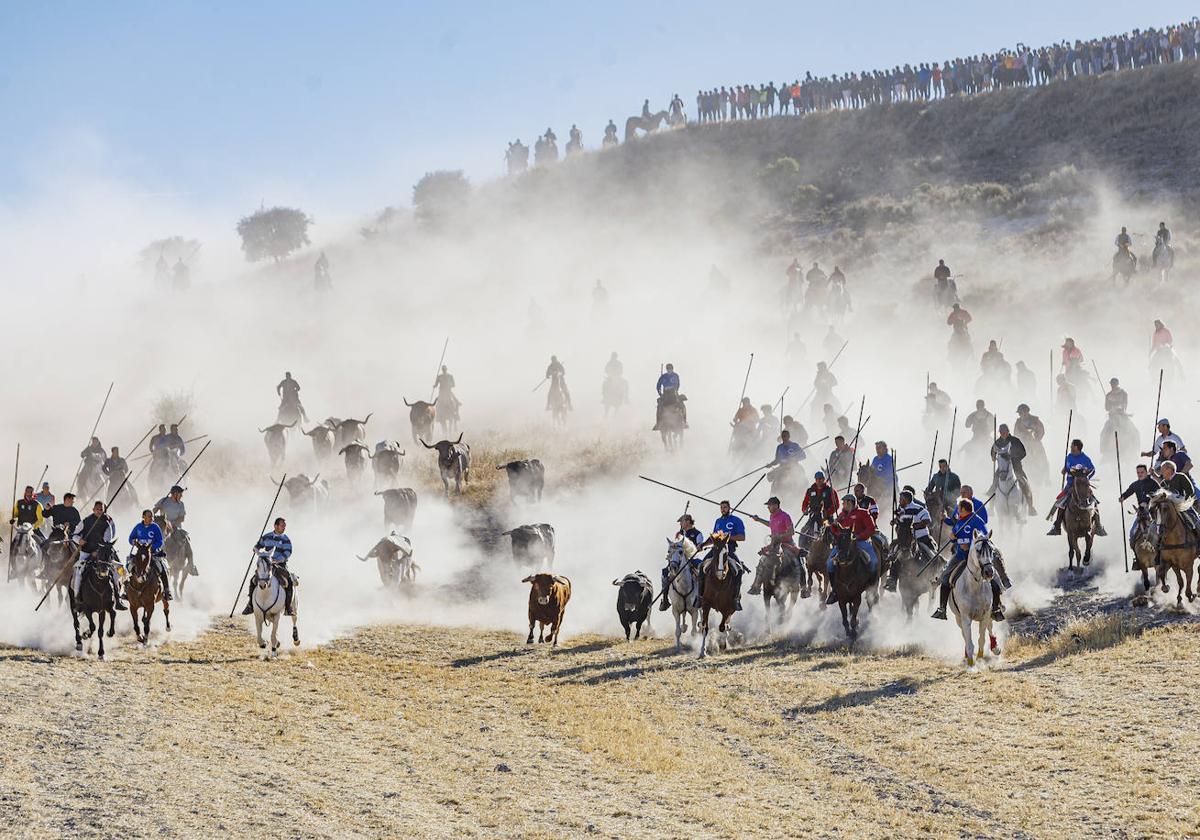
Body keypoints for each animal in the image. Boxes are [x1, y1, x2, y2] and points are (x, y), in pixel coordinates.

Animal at [945, 530, 1003, 667]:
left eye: (991, 550)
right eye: (978, 550)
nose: (989, 572)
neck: (974, 587)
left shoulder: (986, 614)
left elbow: (982, 638)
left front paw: (980, 658)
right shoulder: (965, 617)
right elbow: (969, 642)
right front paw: (971, 664)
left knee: (990, 628)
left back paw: (995, 647)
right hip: (958, 618)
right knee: (964, 635)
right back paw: (966, 655)